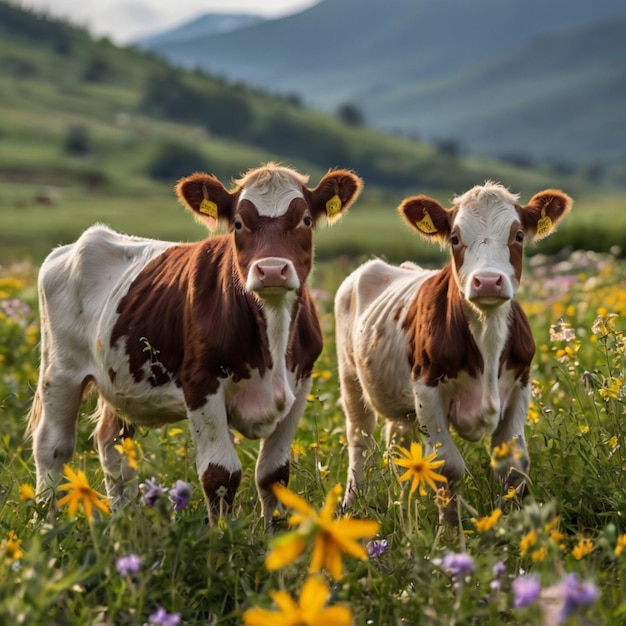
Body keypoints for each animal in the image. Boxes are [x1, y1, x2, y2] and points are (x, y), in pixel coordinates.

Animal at [28, 162, 360, 528]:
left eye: (305, 219)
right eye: (239, 223)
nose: (271, 270)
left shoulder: (300, 385)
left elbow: (273, 475)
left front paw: (275, 535)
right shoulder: (201, 382)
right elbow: (220, 474)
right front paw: (223, 537)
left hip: (119, 378)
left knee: (113, 447)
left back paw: (127, 523)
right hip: (60, 369)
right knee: (53, 446)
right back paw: (47, 525)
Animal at [336, 182, 572, 512]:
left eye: (518, 235)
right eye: (455, 238)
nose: (488, 281)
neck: (487, 335)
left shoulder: (521, 385)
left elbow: (513, 467)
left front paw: (511, 518)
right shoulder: (427, 391)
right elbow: (447, 466)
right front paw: (451, 523)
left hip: (400, 405)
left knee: (397, 438)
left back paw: (403, 501)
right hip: (350, 380)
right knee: (360, 440)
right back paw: (352, 503)